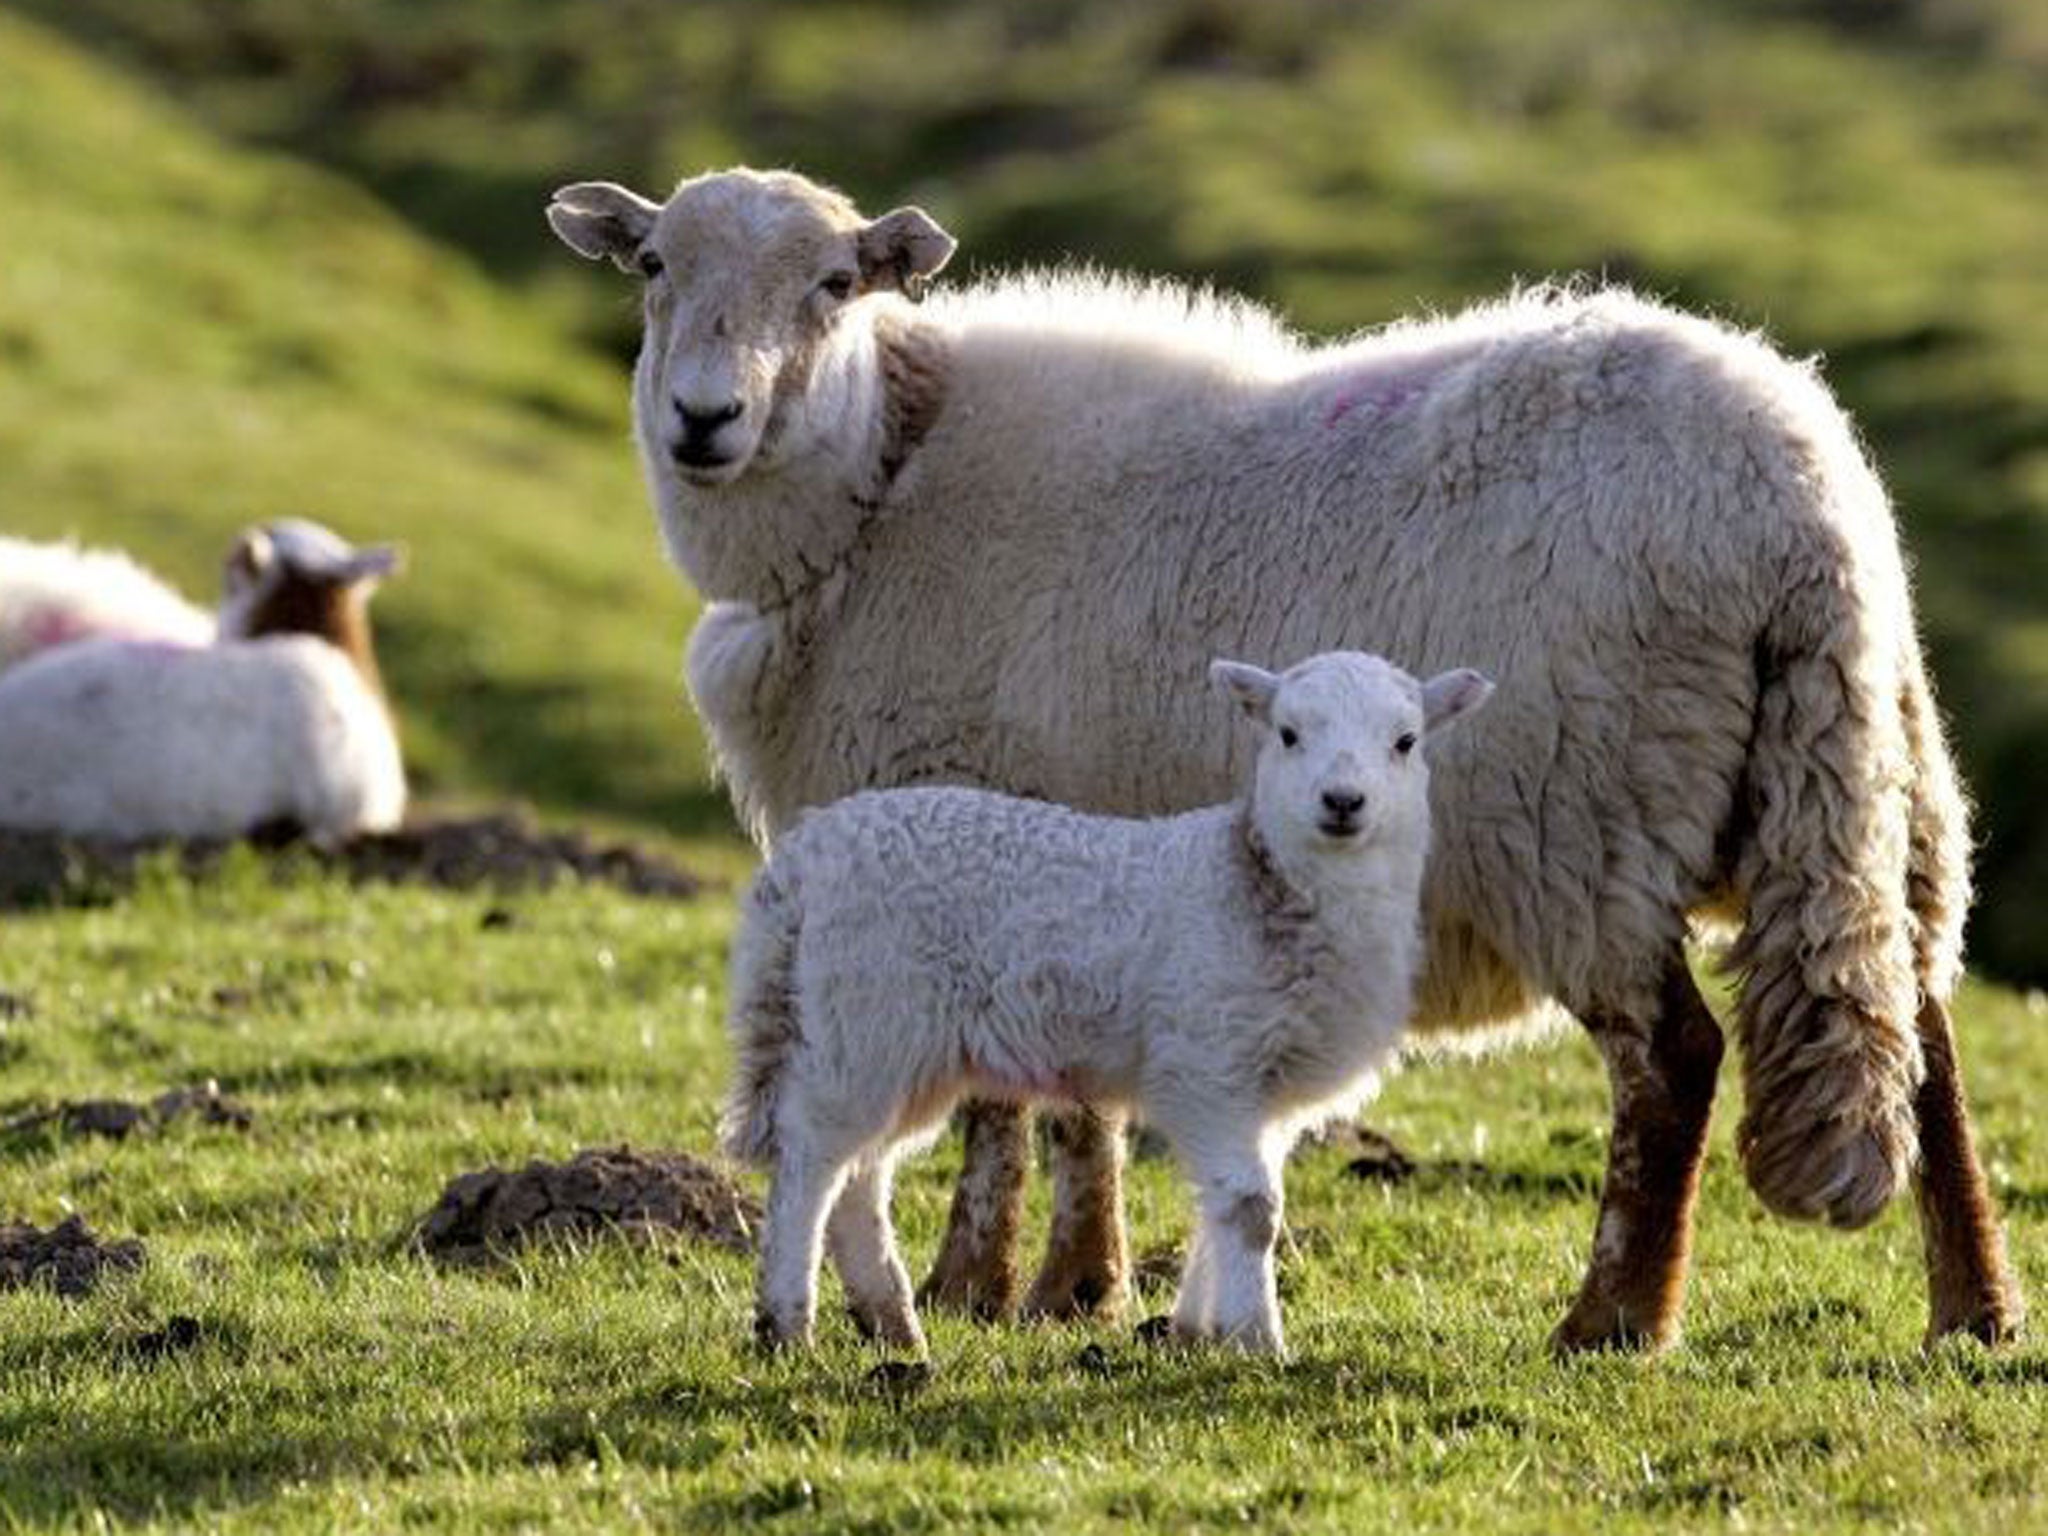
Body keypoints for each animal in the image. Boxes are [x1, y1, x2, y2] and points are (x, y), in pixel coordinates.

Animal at [729, 651, 1499, 1359]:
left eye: (1406, 741)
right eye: (1287, 734)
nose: (1342, 801)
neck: (1260, 882)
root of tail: (803, 857)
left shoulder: (1268, 1090)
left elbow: (1226, 1205)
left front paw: (1197, 1328)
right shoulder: (1207, 1057)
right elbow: (1252, 1209)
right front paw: (1259, 1342)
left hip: (906, 1048)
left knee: (859, 1178)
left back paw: (893, 1325)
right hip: (864, 1016)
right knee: (810, 1159)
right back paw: (786, 1324)